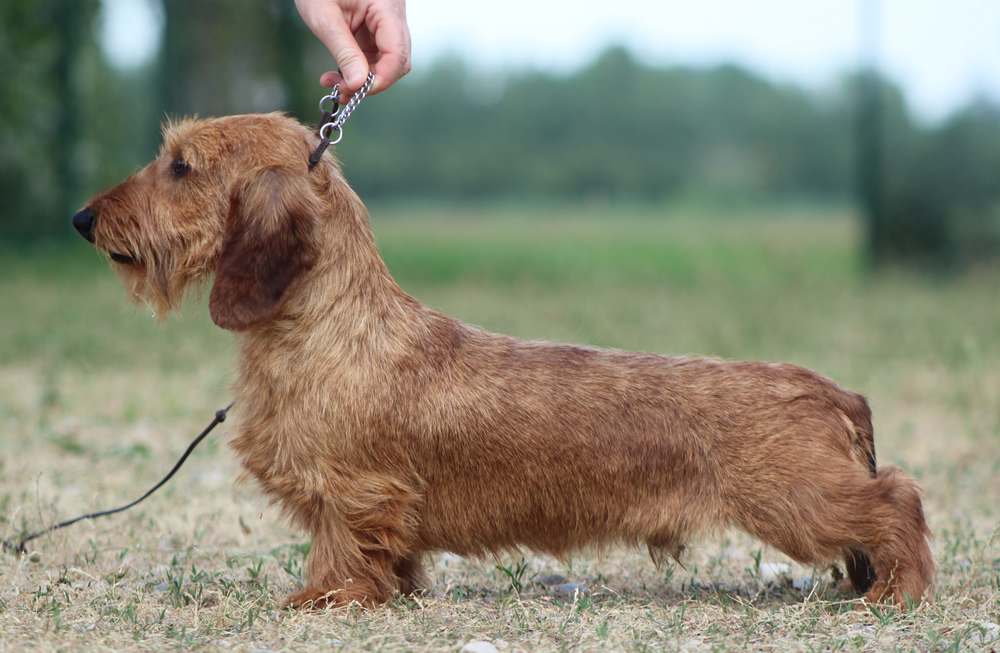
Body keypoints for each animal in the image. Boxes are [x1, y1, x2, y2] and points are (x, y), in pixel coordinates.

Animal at [72, 112, 936, 608]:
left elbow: (343, 548)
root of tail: (834, 391)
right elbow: (392, 556)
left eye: (181, 165)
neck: (329, 324)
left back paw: (901, 593)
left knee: (897, 498)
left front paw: (322, 599)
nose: (81, 218)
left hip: (802, 501)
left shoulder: (354, 491)